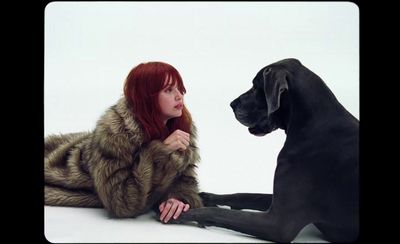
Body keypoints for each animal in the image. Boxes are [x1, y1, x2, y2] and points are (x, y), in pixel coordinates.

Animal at [173, 58, 360, 242]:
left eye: (256, 87)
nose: (232, 104)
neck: (311, 125)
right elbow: (244, 195)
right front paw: (206, 197)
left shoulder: (278, 223)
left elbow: (217, 212)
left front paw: (182, 212)